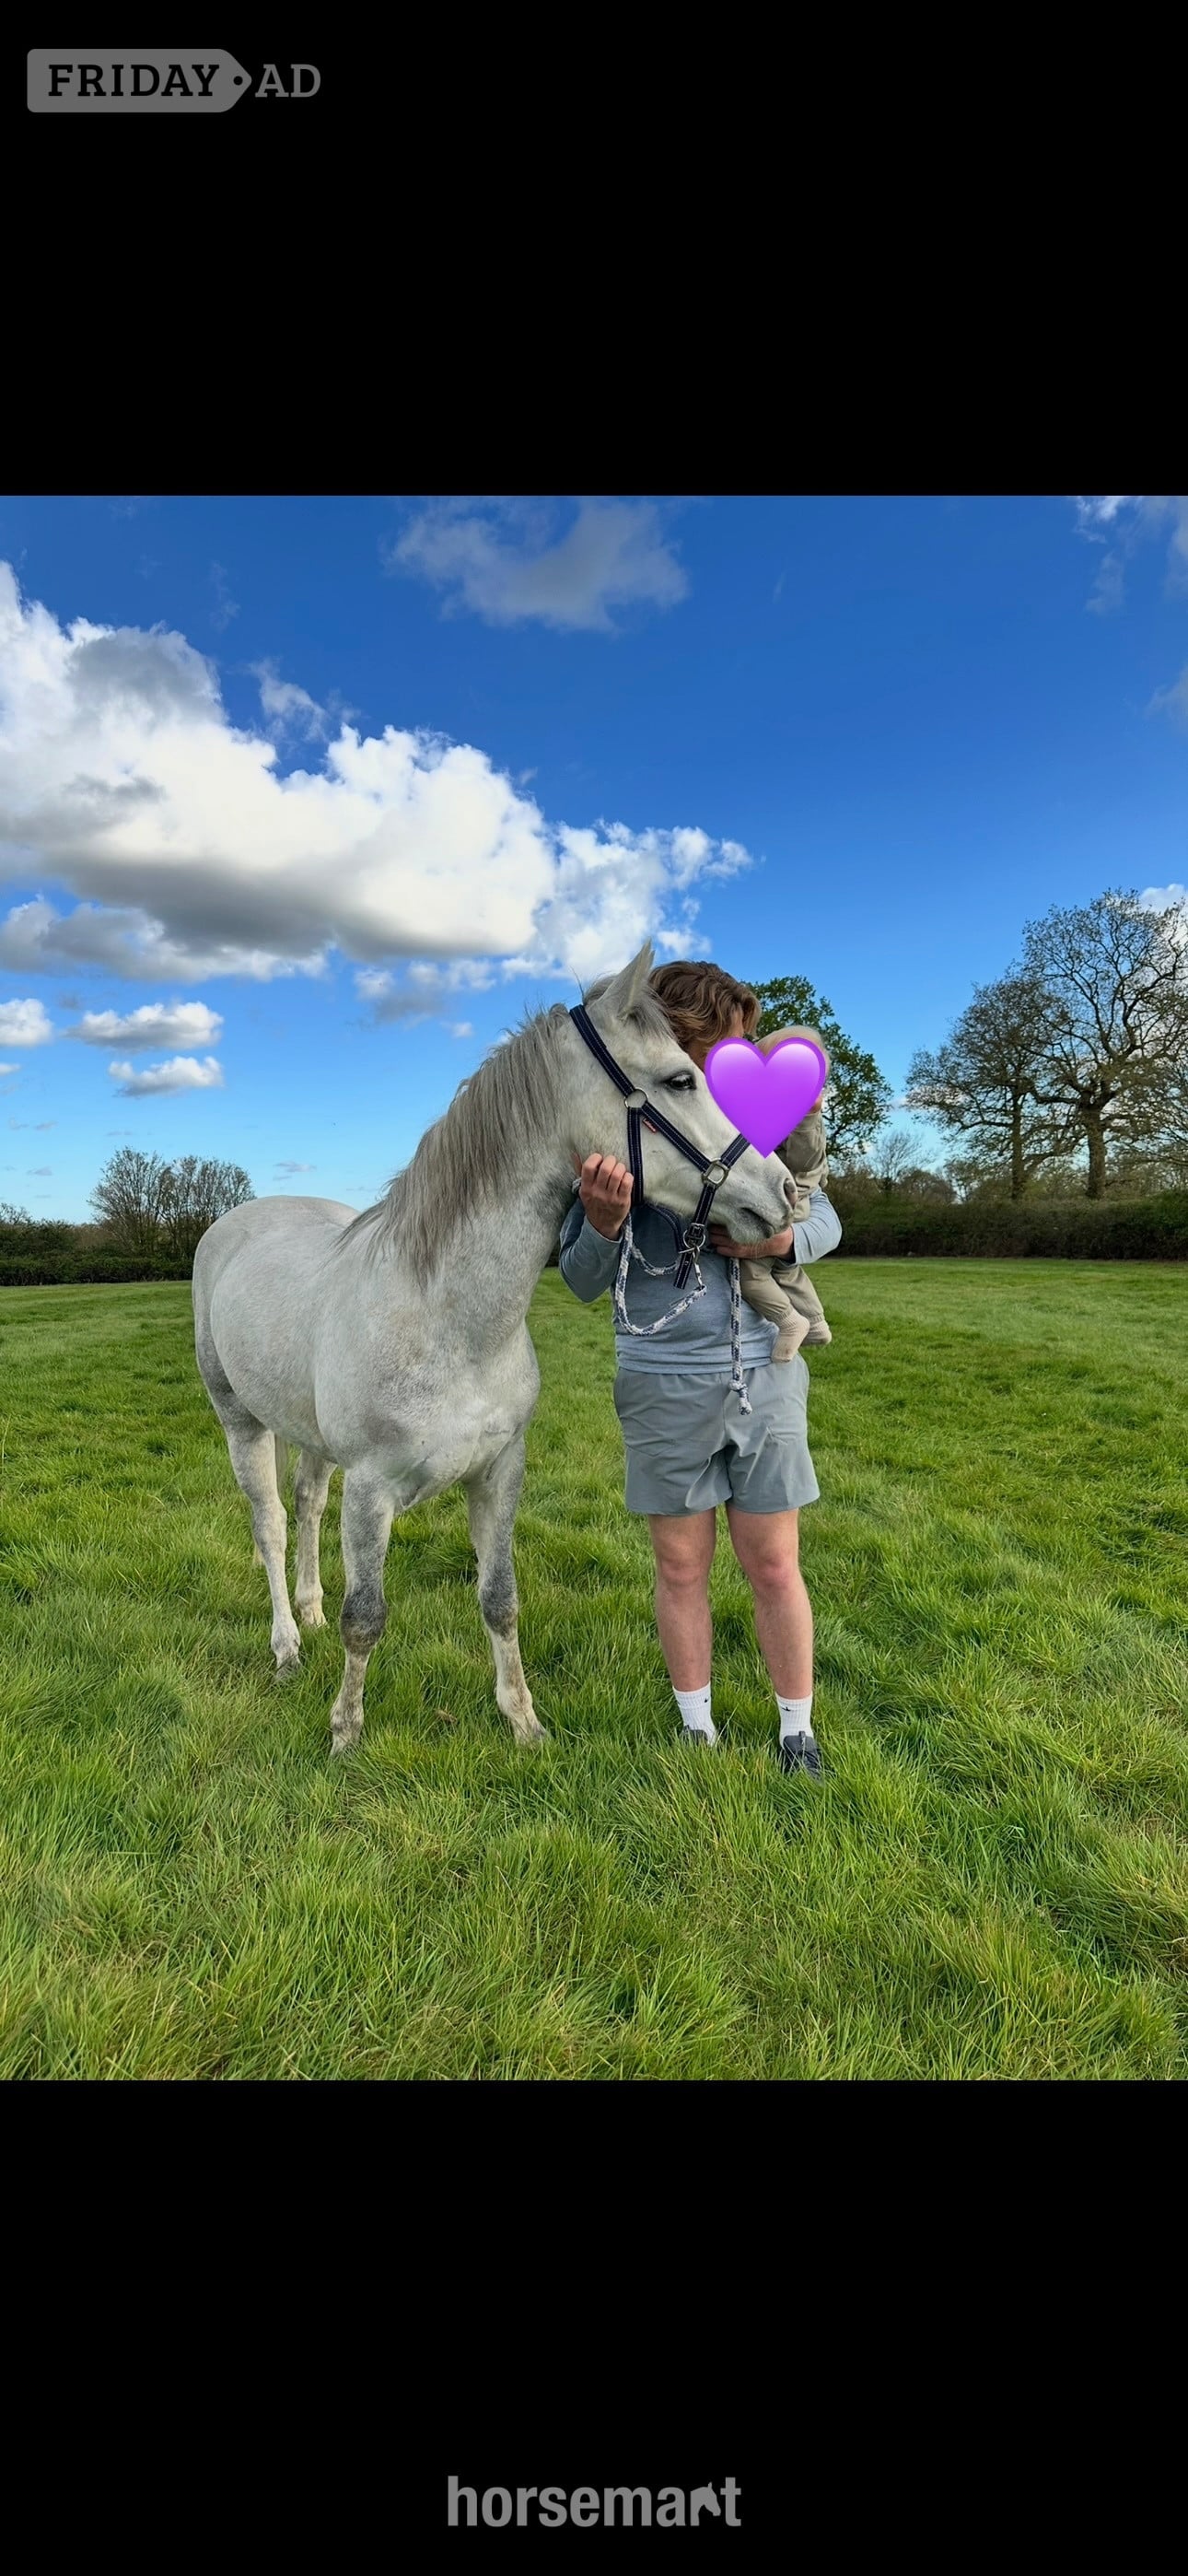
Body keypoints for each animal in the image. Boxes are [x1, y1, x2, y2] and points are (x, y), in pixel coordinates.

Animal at [191, 942, 794, 1755]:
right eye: (680, 1079)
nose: (783, 1193)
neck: (449, 1322)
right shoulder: (372, 1491)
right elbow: (366, 1618)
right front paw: (346, 1730)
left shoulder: (500, 1472)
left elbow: (500, 1598)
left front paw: (523, 1721)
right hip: (242, 1424)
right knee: (271, 1522)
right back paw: (287, 1645)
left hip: (309, 1437)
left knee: (309, 1506)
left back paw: (309, 1610)